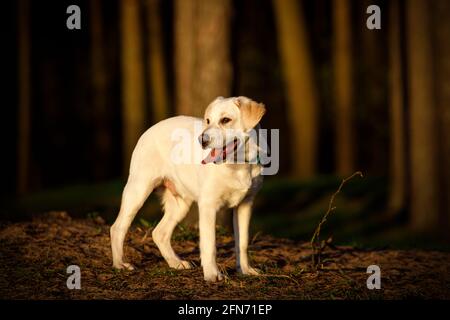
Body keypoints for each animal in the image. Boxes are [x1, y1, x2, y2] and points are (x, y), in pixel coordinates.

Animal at [110, 96, 266, 282]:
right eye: (208, 120)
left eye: (225, 120)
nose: (203, 140)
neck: (238, 165)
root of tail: (151, 128)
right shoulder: (208, 205)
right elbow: (209, 244)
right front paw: (212, 274)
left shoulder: (245, 204)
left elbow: (242, 242)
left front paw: (245, 270)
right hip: (138, 190)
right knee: (117, 228)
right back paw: (120, 264)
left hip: (180, 204)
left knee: (159, 233)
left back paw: (176, 263)